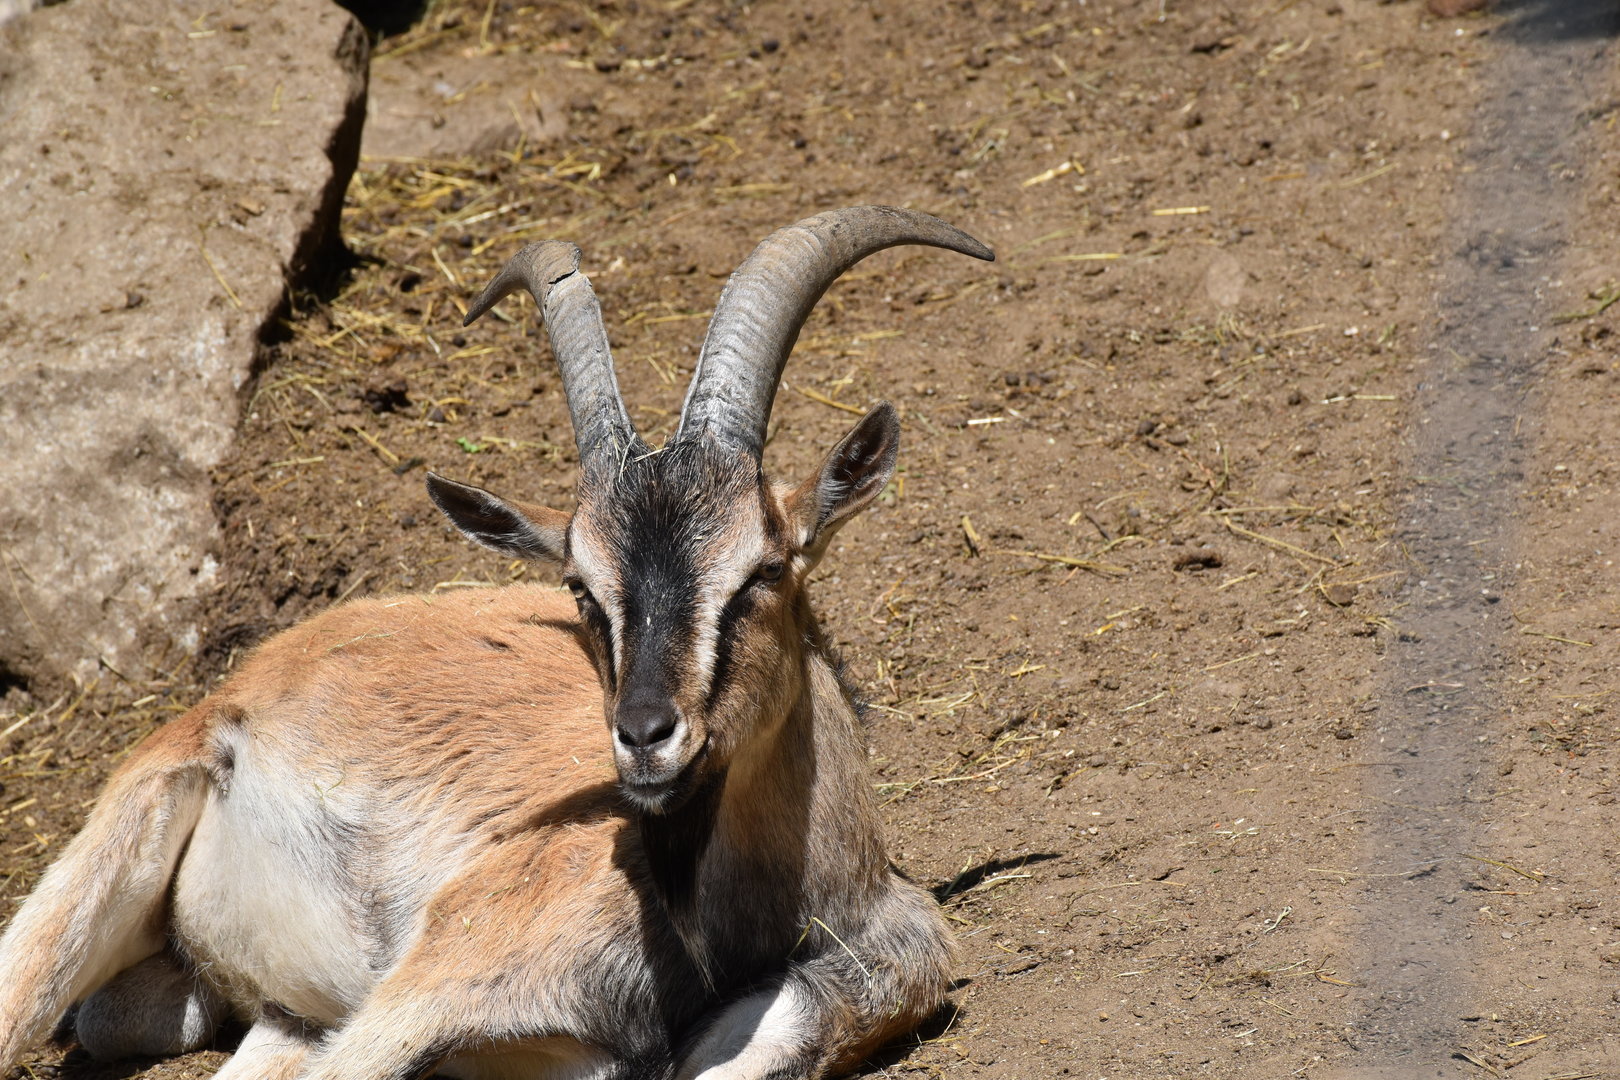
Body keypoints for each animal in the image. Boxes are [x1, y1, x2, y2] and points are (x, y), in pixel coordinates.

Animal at [0, 206, 994, 1080]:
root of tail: (267, 665)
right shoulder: (442, 973)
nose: (644, 736)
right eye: (582, 588)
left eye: (763, 570)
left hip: (272, 1011)